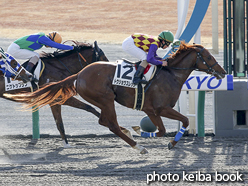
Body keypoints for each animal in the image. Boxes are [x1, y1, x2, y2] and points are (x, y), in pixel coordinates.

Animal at [5, 42, 227, 154]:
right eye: (208, 57)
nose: (223, 72)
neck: (170, 74)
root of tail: (79, 74)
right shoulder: (159, 108)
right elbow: (178, 123)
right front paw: (146, 135)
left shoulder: (151, 110)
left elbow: (170, 127)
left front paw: (158, 138)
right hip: (105, 99)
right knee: (109, 123)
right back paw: (138, 147)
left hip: (103, 101)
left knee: (105, 121)